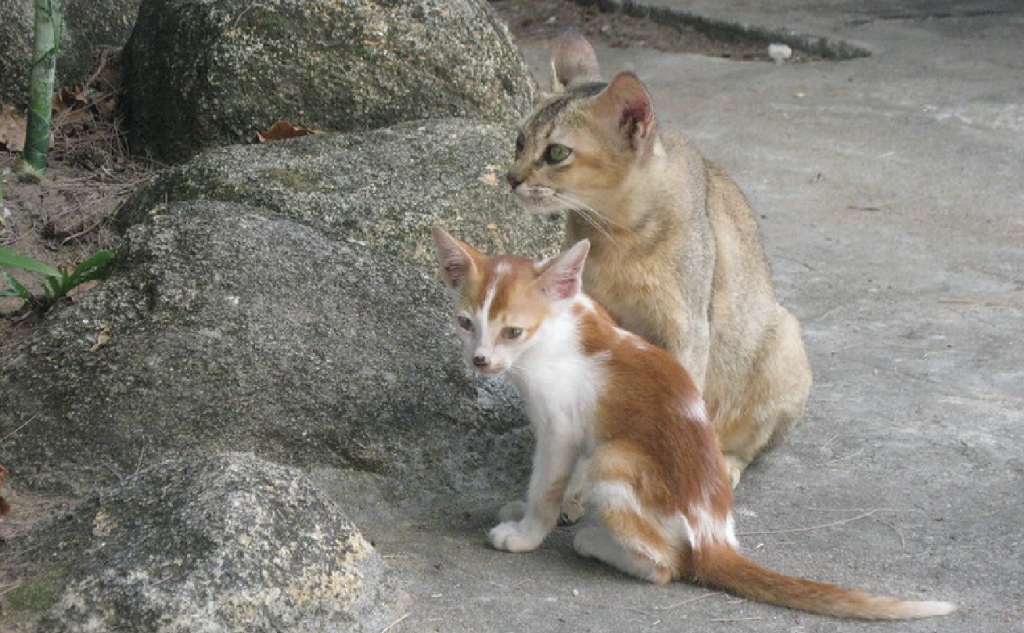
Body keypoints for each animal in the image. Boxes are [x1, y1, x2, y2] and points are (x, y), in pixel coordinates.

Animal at [430, 226, 950, 614]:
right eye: (465, 323)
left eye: (513, 331)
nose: (479, 360)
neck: (557, 331)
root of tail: (717, 536)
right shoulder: (578, 429)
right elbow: (560, 482)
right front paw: (542, 509)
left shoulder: (560, 428)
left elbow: (547, 485)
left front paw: (527, 531)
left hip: (615, 458)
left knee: (668, 566)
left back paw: (597, 543)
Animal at [507, 28, 811, 483]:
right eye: (520, 141)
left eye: (557, 153)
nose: (511, 177)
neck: (615, 236)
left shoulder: (686, 329)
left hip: (785, 343)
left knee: (748, 445)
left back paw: (724, 464)